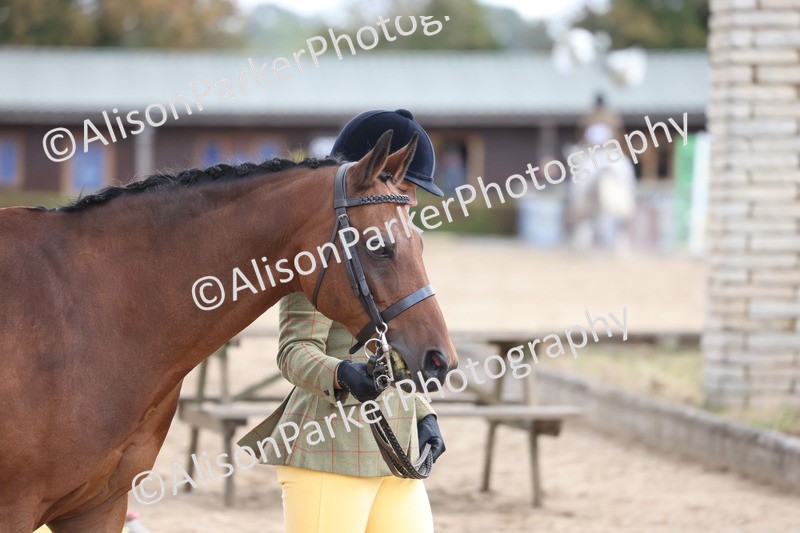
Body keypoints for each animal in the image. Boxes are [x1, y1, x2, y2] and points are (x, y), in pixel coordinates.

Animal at [0, 131, 458, 532]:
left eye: (419, 242)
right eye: (379, 246)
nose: (441, 360)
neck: (93, 313)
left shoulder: (99, 506)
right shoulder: (17, 509)